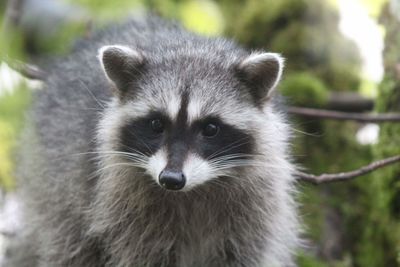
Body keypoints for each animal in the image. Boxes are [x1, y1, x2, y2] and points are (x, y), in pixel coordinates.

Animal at [6, 15, 300, 266]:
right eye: (156, 124)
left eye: (211, 129)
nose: (171, 179)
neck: (193, 190)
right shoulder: (123, 206)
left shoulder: (256, 207)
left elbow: (243, 253)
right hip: (53, 184)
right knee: (70, 244)